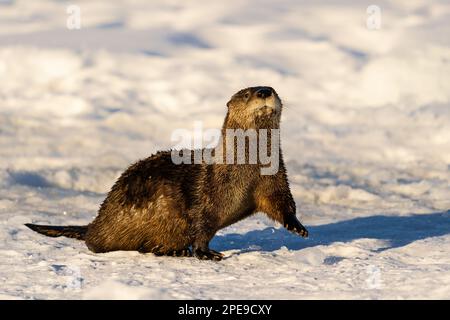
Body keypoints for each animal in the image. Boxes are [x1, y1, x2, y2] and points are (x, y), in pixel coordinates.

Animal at [25, 85, 310, 260]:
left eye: (272, 89)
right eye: (248, 94)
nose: (264, 91)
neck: (246, 169)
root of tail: (99, 219)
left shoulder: (273, 180)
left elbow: (281, 203)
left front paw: (297, 227)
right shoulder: (208, 193)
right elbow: (202, 223)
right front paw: (206, 253)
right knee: (96, 244)